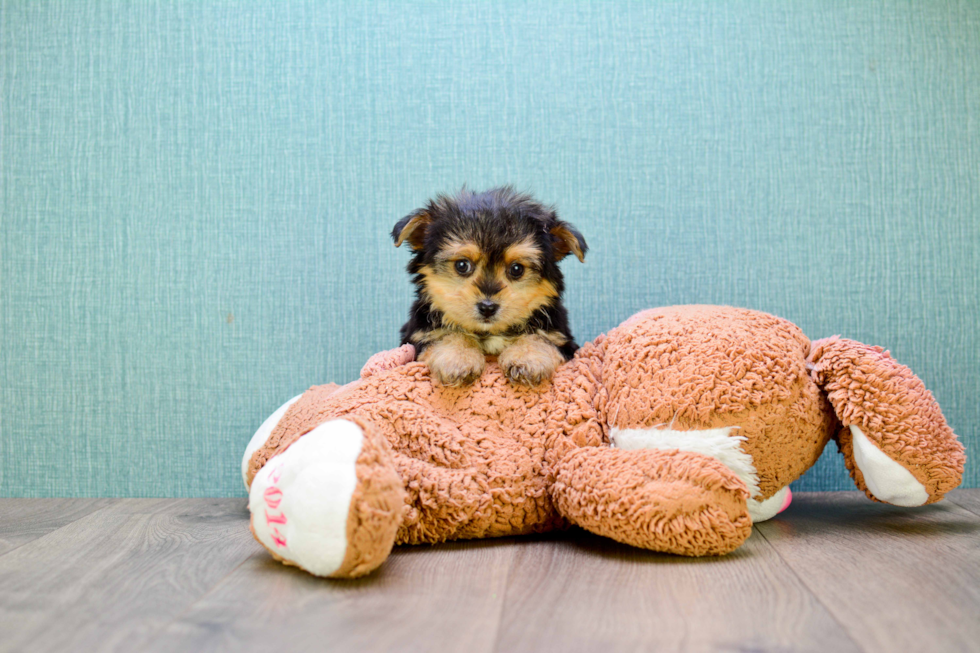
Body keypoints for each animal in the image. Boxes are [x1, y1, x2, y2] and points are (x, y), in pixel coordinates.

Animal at [392, 186, 588, 384]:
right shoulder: (418, 336)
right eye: (462, 265)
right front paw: (458, 358)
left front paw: (527, 358)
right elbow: (447, 335)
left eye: (516, 269)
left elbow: (540, 339)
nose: (487, 307)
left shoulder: (562, 339)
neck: (489, 333)